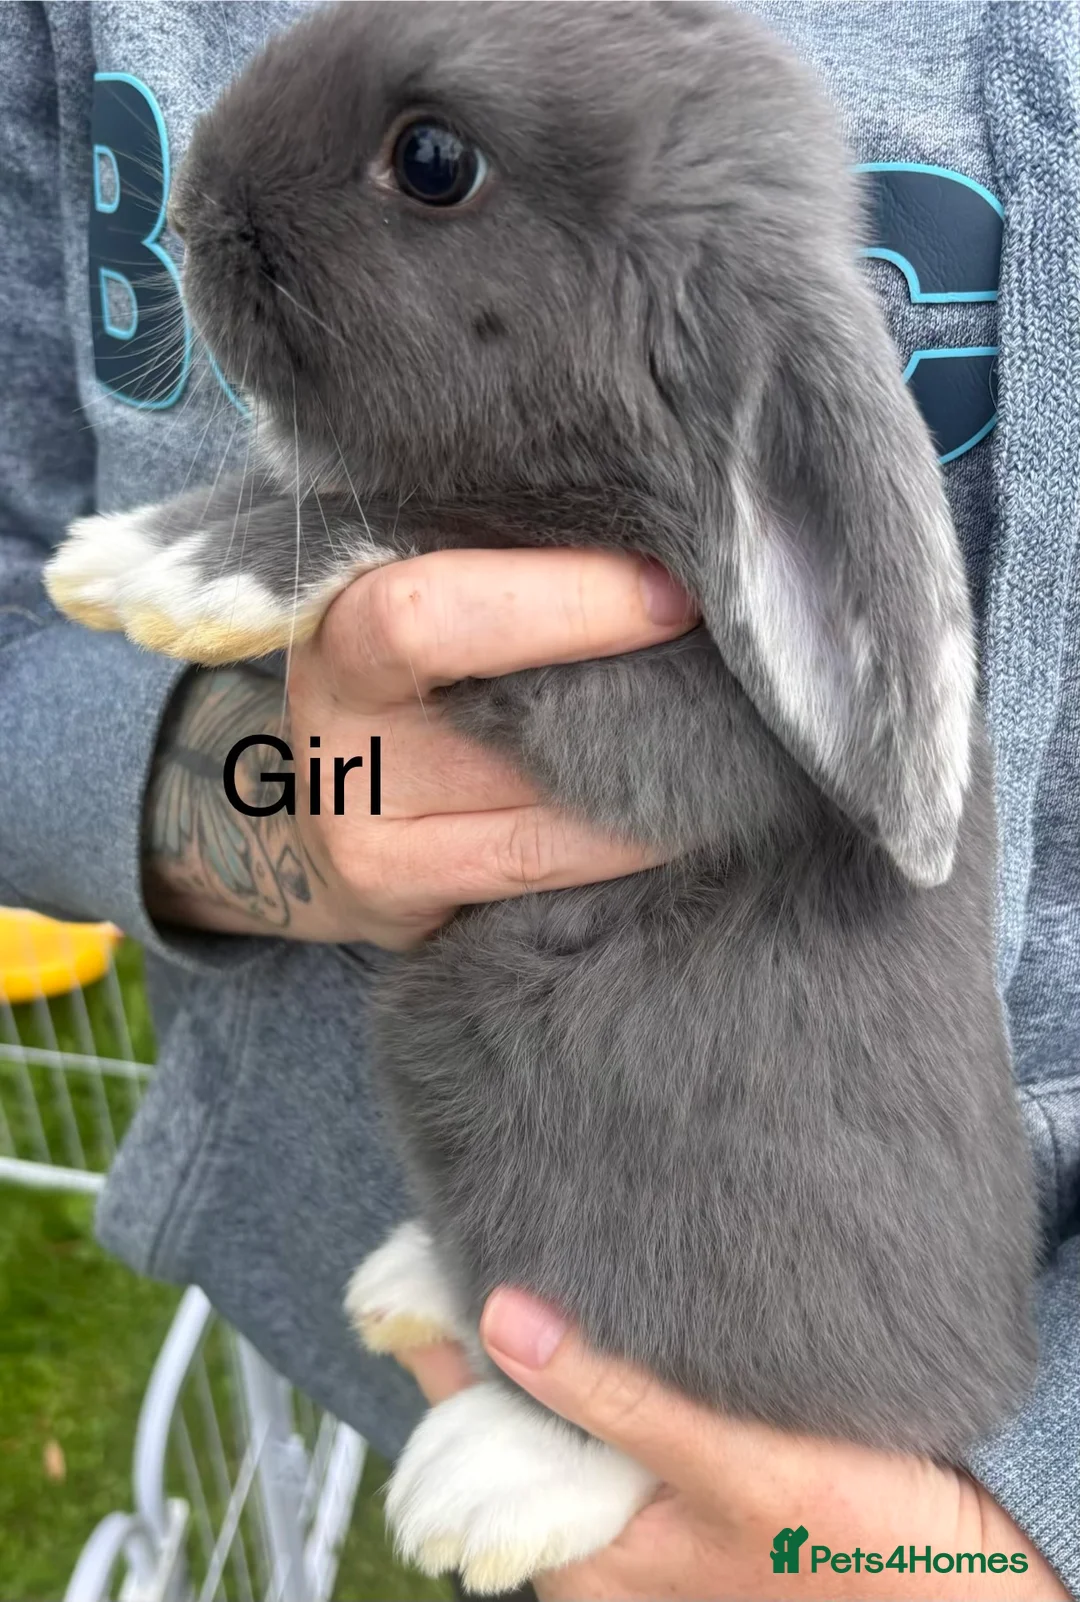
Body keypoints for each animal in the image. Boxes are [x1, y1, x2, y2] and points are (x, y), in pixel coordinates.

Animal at [46, 2, 1039, 1591]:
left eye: (432, 161)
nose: (189, 206)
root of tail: (964, 1384)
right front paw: (122, 552)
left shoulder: (658, 698)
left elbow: (403, 513)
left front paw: (164, 573)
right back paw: (408, 1282)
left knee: (675, 1379)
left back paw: (487, 1476)